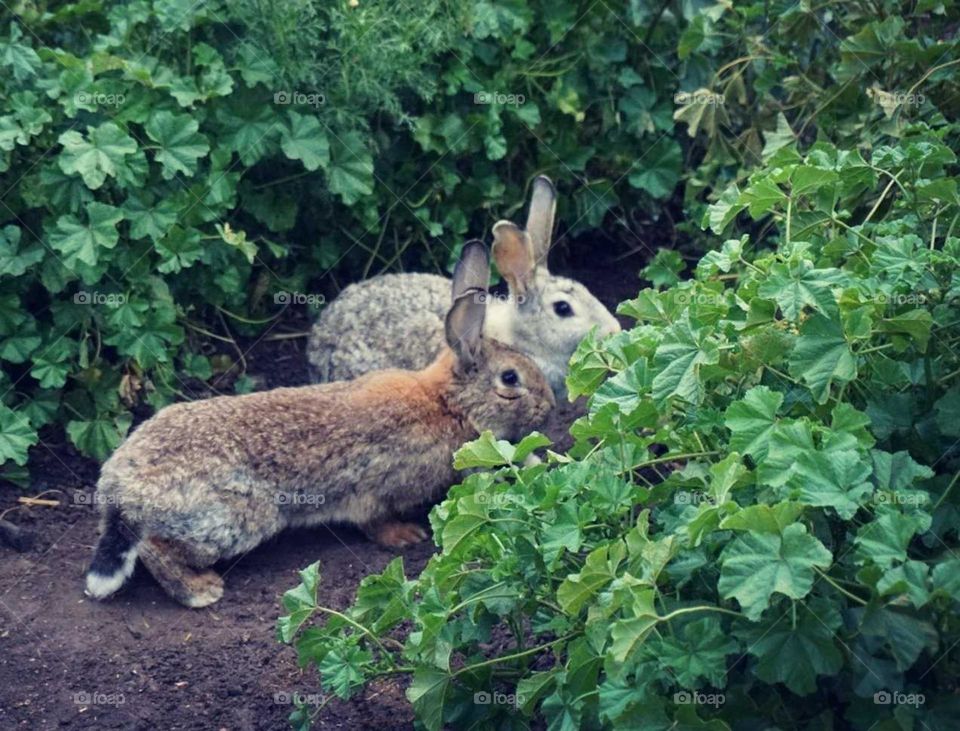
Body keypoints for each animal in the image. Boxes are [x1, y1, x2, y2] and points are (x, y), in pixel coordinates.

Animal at [90, 243, 560, 608]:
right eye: (510, 379)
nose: (551, 408)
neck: (447, 404)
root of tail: (118, 486)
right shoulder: (380, 487)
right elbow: (374, 520)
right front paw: (405, 536)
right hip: (236, 517)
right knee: (155, 547)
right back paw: (200, 590)